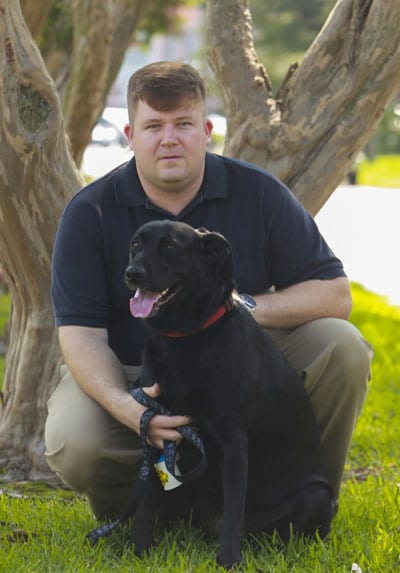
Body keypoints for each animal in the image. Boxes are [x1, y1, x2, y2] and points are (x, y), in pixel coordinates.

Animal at [89, 219, 336, 568]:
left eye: (169, 246)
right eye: (136, 244)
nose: (132, 273)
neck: (183, 338)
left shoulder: (232, 441)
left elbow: (234, 509)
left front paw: (229, 561)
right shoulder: (155, 427)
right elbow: (149, 497)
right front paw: (139, 548)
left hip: (318, 497)